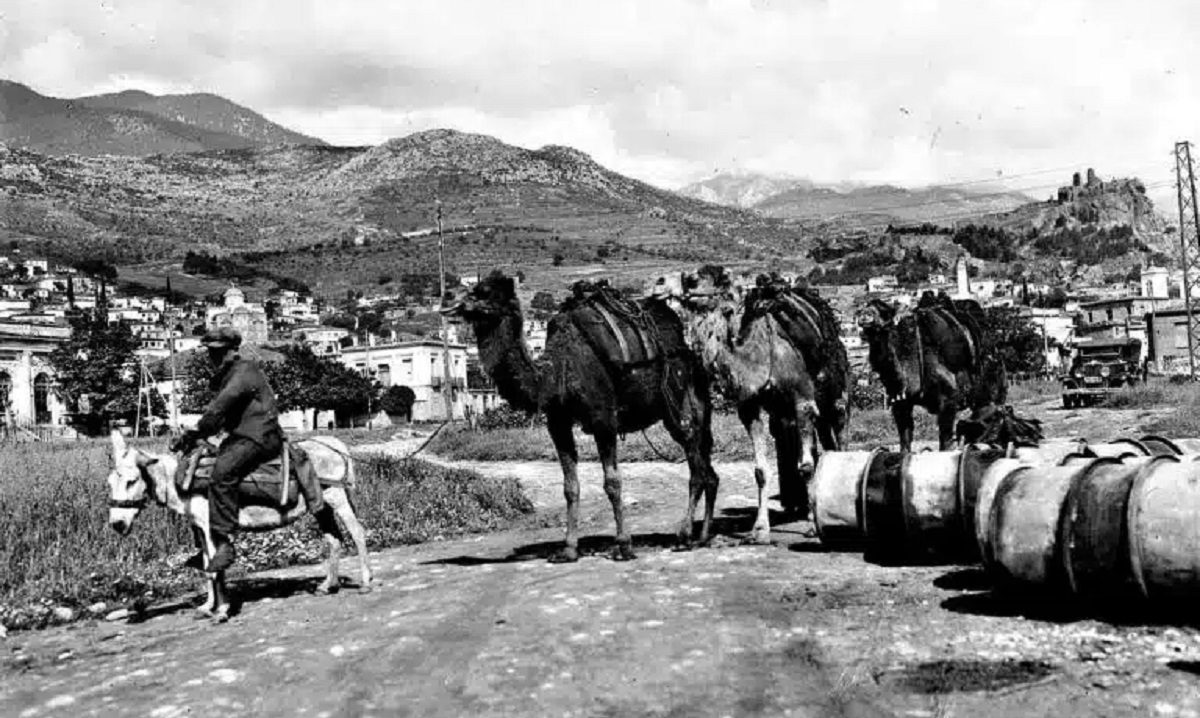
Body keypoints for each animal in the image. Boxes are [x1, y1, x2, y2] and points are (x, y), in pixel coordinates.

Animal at [107, 429, 369, 619]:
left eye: (132, 481)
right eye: (110, 482)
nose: (117, 524)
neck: (181, 482)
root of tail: (336, 444)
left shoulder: (210, 526)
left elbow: (215, 569)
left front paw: (221, 610)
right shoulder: (202, 528)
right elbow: (209, 566)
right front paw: (208, 606)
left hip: (337, 496)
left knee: (357, 533)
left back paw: (366, 582)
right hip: (321, 506)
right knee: (334, 539)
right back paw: (328, 585)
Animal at [444, 274, 715, 561]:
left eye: (483, 291)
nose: (447, 296)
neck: (556, 374)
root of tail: (689, 352)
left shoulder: (604, 419)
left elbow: (612, 482)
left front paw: (623, 545)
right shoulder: (558, 424)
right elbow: (570, 486)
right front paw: (569, 548)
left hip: (677, 397)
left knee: (696, 464)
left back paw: (684, 535)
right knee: (706, 466)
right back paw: (703, 536)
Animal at [662, 267, 849, 542]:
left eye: (693, 279)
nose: (660, 282)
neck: (761, 358)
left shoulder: (802, 400)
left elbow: (806, 466)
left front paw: (813, 525)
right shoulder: (750, 407)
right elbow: (761, 470)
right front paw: (760, 530)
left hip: (835, 392)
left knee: (839, 426)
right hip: (792, 410)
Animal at [859, 295, 1008, 453]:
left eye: (885, 312)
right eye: (865, 308)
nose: (865, 314)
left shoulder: (948, 402)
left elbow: (945, 441)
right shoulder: (900, 403)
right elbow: (905, 439)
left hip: (992, 392)